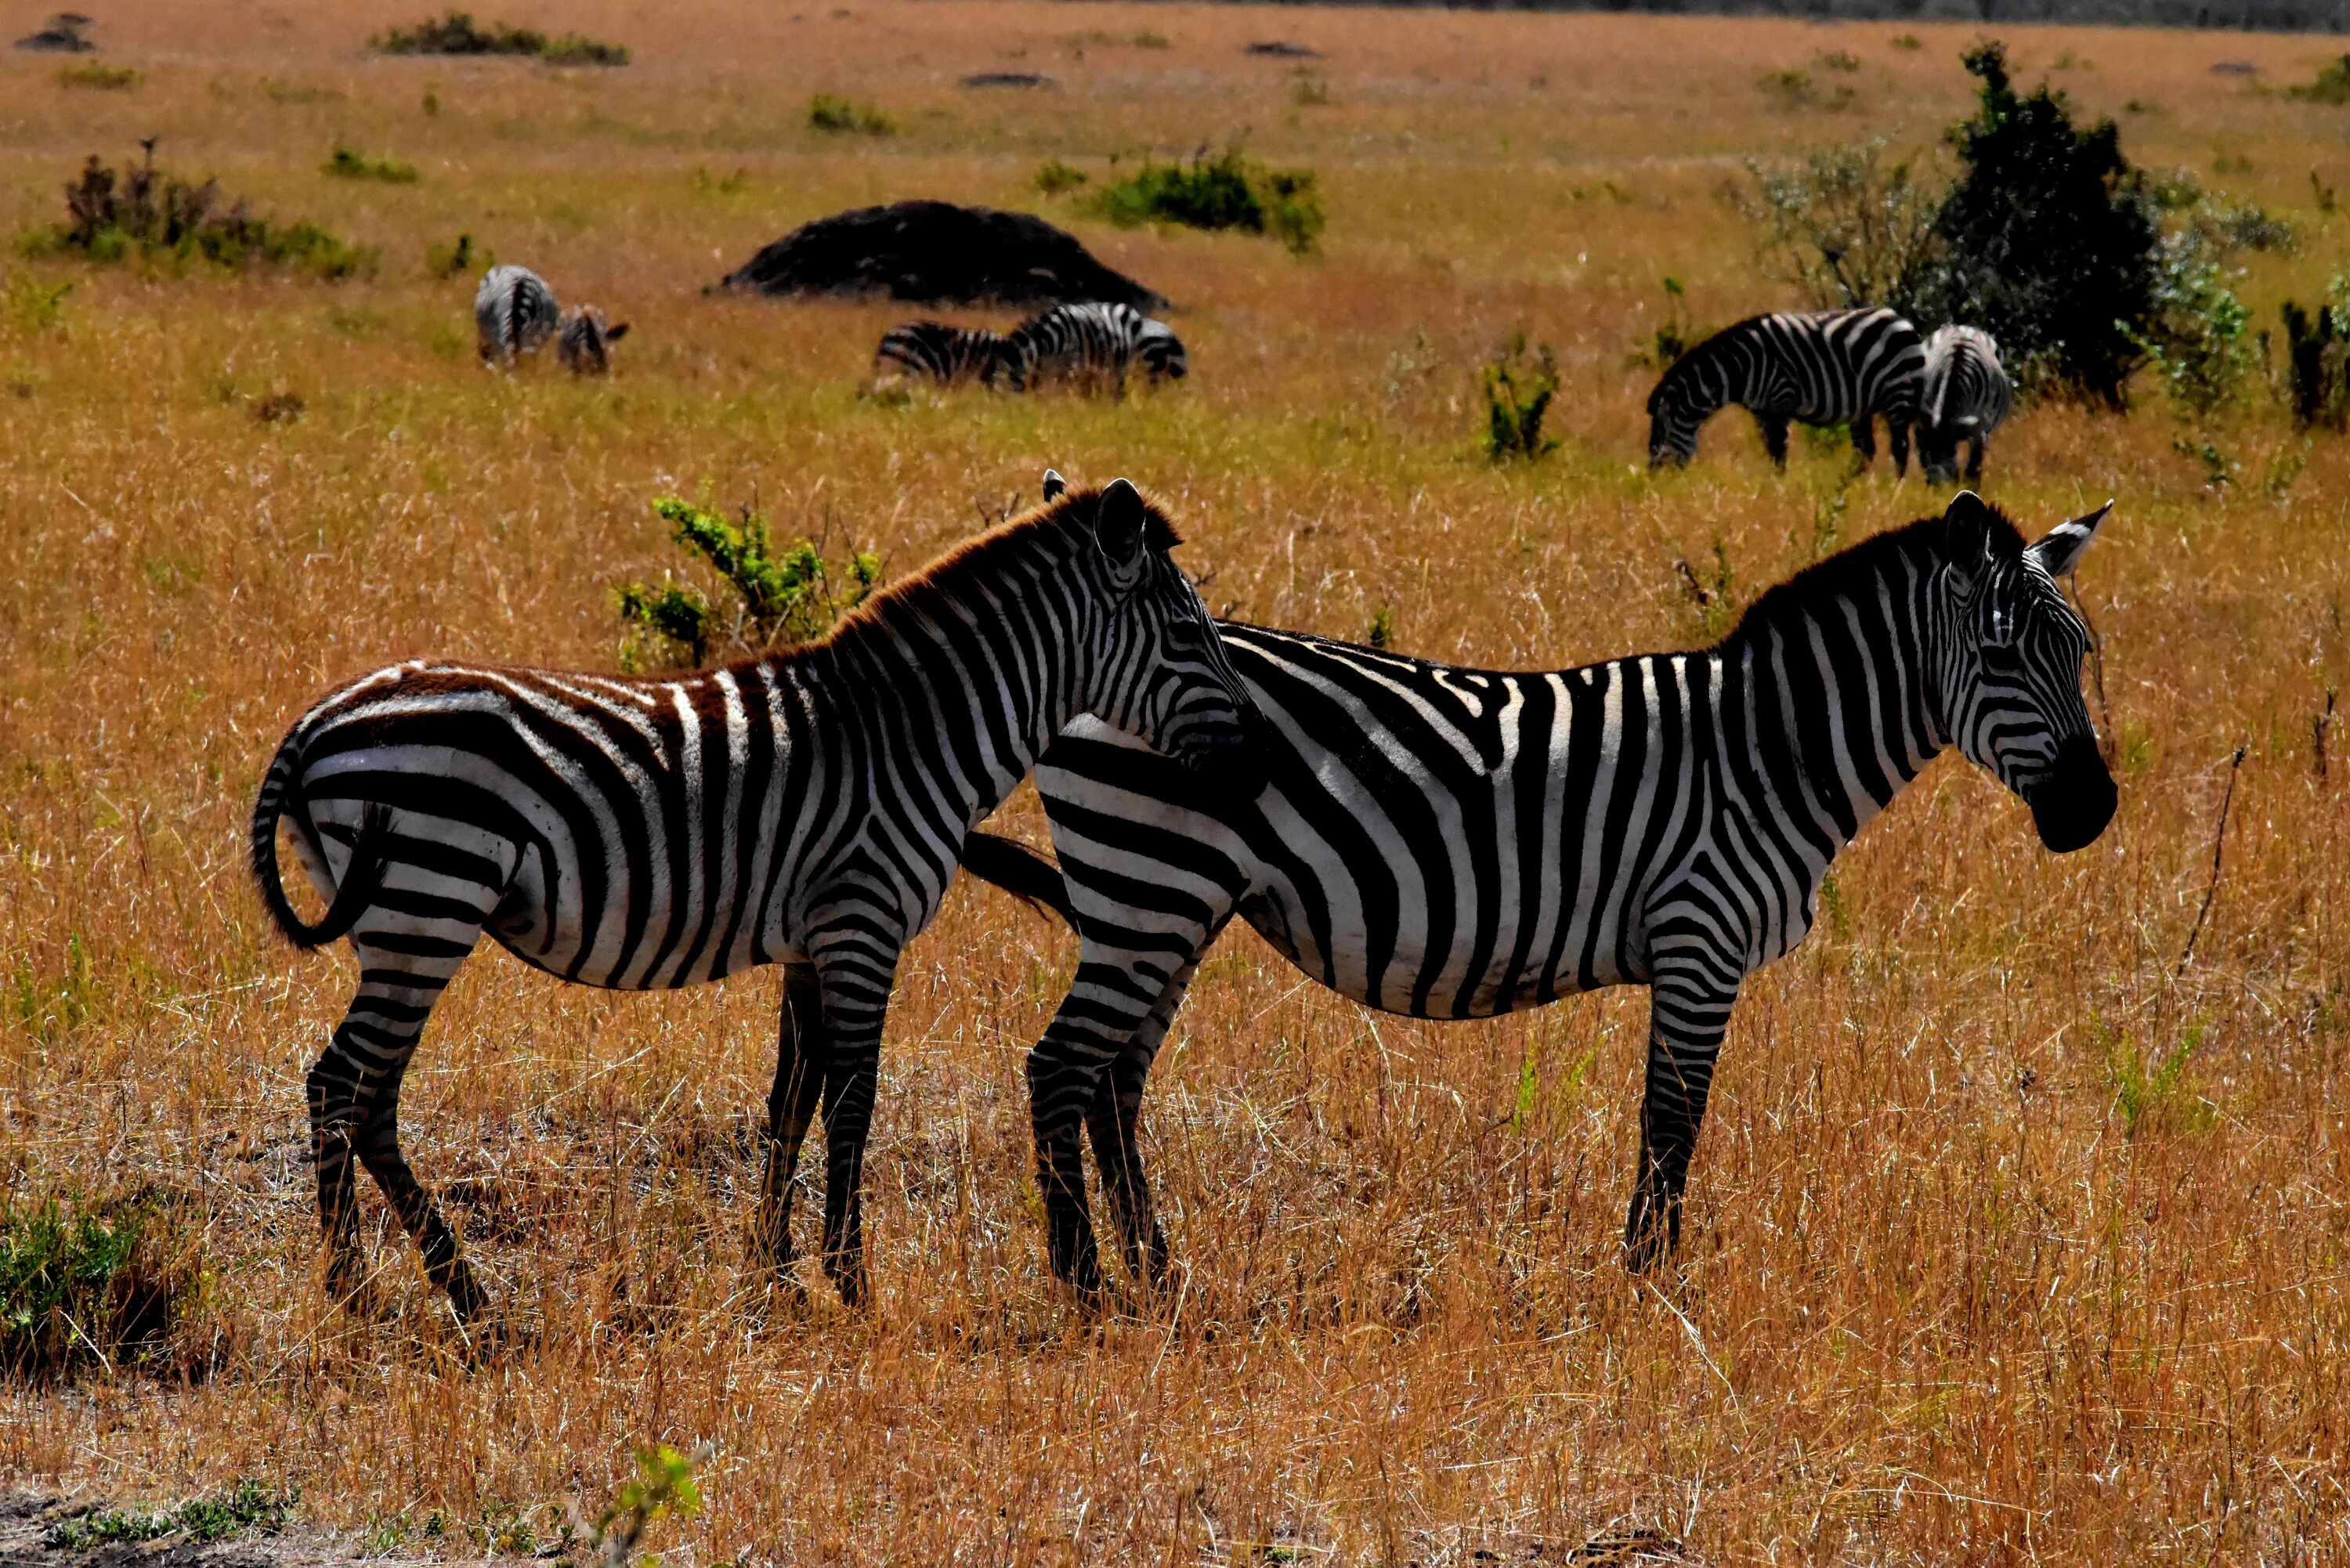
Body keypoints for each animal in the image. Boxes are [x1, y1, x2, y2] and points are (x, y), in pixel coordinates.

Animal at [248, 482, 1260, 1325]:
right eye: (1187, 630)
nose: (1253, 753)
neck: (910, 735)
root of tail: (315, 724)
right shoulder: (863, 921)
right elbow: (853, 1100)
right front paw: (852, 1280)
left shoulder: (813, 941)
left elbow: (790, 1102)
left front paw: (774, 1274)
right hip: (428, 903)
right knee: (343, 1083)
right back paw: (364, 1288)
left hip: (403, 921)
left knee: (365, 1095)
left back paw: (447, 1287)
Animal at [964, 479, 2124, 1297]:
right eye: (2001, 655)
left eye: (2082, 650)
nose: (2094, 812)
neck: (1767, 750)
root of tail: (1077, 682)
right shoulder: (1700, 937)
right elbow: (1672, 1119)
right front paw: (1649, 1283)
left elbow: (1670, 1121)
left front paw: (1646, 1274)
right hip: (1148, 890)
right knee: (1060, 1067)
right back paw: (1084, 1284)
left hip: (1170, 905)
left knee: (1114, 1078)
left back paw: (1157, 1269)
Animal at [1654, 305, 1927, 475]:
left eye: (1661, 430)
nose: (1655, 477)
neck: (1743, 366)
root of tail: (1902, 320)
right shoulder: (1762, 412)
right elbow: (1772, 451)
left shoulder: (1780, 400)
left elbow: (1779, 453)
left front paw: (1778, 490)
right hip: (1864, 407)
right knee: (1866, 451)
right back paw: (1847, 486)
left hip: (1897, 393)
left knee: (1900, 449)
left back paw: (1892, 492)